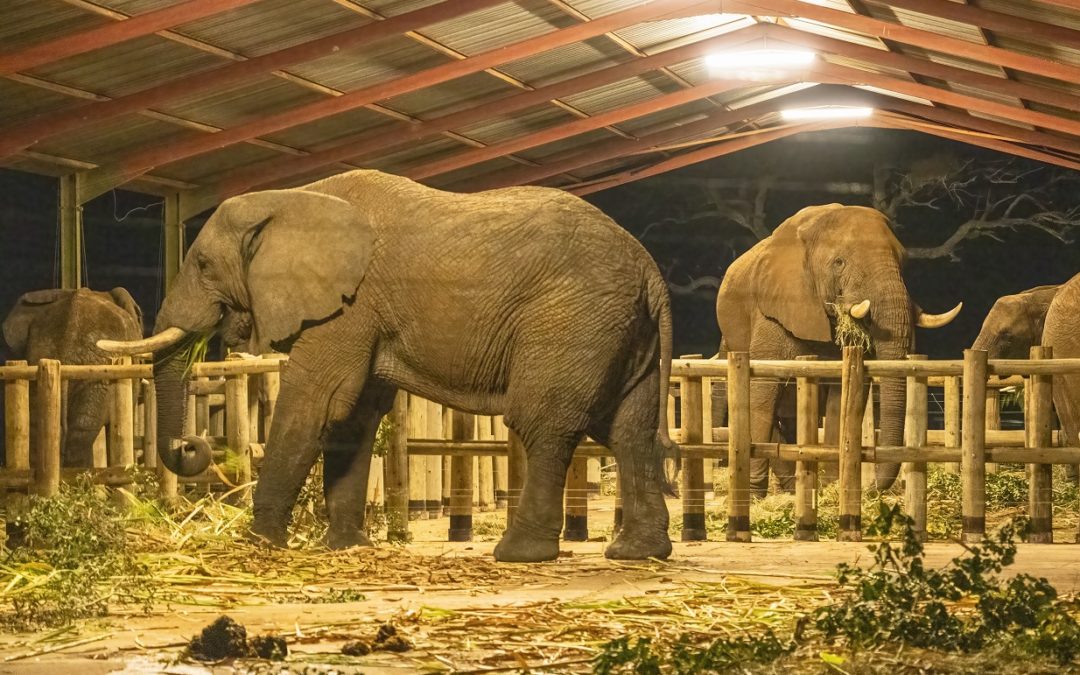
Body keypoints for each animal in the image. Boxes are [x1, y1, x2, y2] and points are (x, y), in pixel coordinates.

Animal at [99, 169, 676, 563]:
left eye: (201, 263)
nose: (190, 446)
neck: (291, 197)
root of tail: (651, 270)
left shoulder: (349, 306)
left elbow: (317, 402)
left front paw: (259, 542)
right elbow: (353, 417)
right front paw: (344, 546)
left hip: (572, 321)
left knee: (544, 424)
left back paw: (518, 554)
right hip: (620, 330)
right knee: (629, 431)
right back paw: (637, 553)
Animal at [715, 204, 961, 496]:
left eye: (903, 262)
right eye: (839, 262)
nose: (872, 489)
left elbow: (841, 397)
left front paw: (830, 487)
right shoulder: (773, 310)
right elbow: (763, 390)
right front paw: (752, 496)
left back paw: (794, 487)